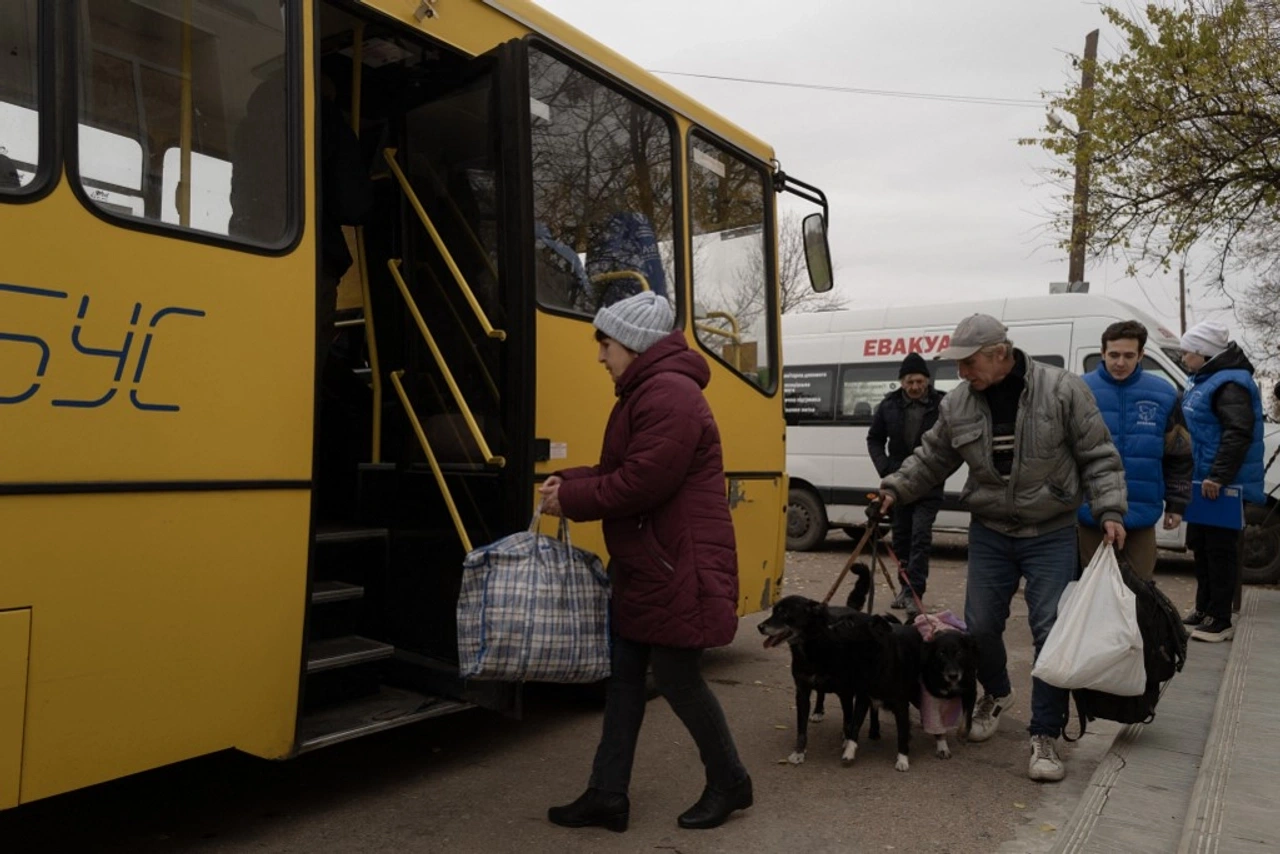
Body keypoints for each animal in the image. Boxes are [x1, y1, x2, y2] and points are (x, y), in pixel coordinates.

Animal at [757, 563, 880, 763]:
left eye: (784, 613)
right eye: (774, 610)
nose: (760, 627)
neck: (813, 646)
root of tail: (851, 608)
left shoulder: (846, 692)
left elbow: (848, 721)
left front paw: (847, 740)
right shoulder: (802, 691)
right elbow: (801, 729)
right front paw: (799, 752)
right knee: (821, 692)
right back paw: (818, 710)